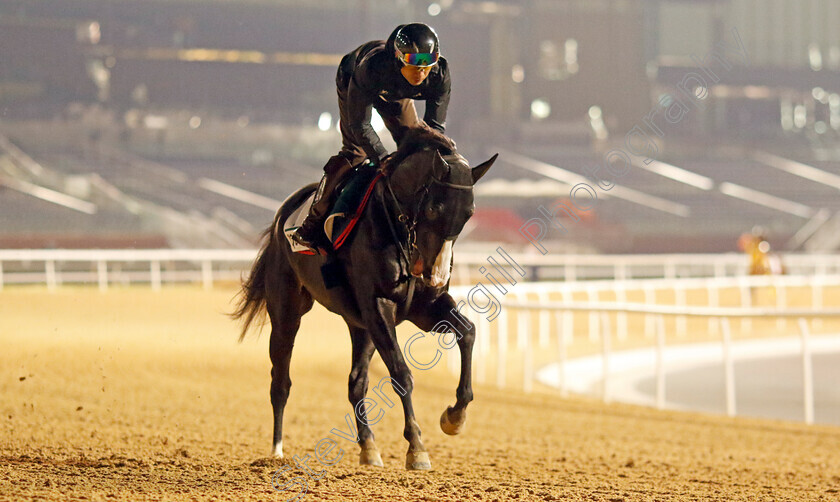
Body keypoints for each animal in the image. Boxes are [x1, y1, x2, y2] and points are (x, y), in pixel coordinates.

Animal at [230, 125, 496, 470]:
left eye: (469, 212)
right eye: (434, 208)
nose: (435, 274)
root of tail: (284, 216)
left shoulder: (426, 307)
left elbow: (468, 332)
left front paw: (455, 416)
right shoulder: (378, 307)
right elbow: (401, 373)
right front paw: (417, 448)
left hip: (360, 326)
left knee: (356, 382)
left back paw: (369, 446)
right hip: (287, 311)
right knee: (281, 380)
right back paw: (276, 450)